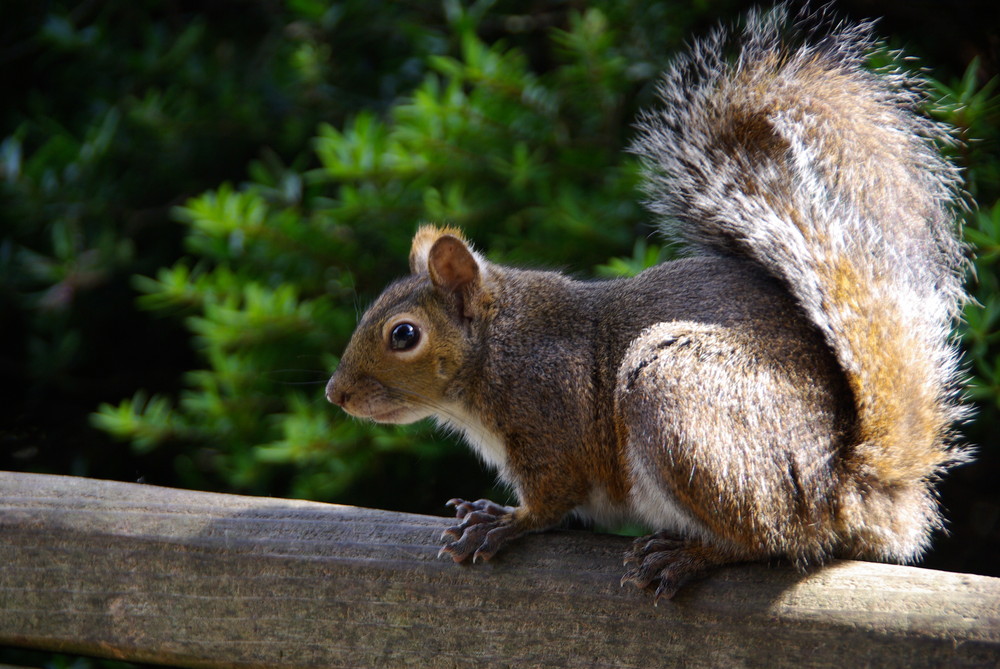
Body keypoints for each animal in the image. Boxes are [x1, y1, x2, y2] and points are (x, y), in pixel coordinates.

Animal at [326, 6, 968, 600]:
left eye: (403, 335)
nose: (336, 394)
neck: (494, 350)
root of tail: (846, 490)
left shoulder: (552, 413)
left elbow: (552, 499)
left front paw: (503, 522)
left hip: (675, 396)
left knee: (772, 537)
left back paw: (690, 556)